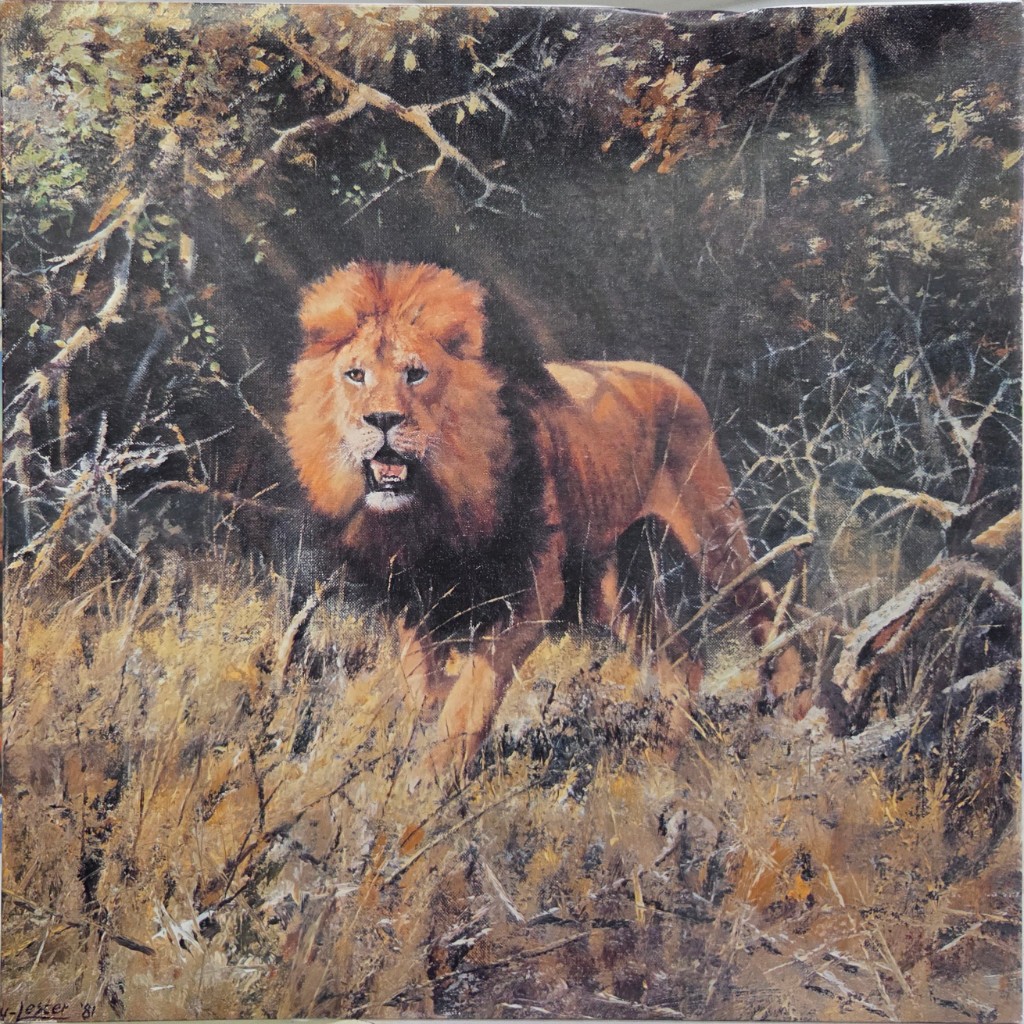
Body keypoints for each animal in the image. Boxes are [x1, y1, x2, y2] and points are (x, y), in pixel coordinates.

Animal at [285, 261, 802, 780]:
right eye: (355, 375)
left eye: (416, 374)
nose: (382, 419)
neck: (439, 501)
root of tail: (668, 374)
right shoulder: (414, 598)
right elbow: (425, 689)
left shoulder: (531, 593)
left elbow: (472, 695)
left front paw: (429, 780)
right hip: (613, 585)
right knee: (682, 661)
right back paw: (666, 761)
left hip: (713, 537)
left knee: (764, 598)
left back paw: (792, 701)